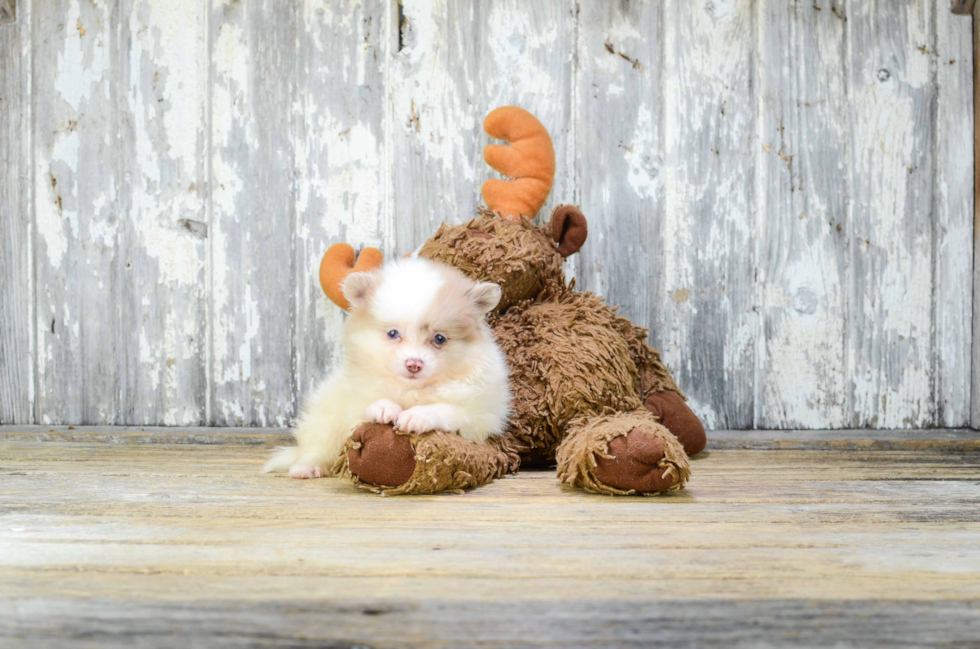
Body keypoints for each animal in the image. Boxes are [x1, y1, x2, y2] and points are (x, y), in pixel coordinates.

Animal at [260, 256, 512, 478]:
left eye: (439, 338)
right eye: (393, 333)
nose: (414, 364)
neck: (410, 389)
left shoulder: (478, 415)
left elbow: (444, 409)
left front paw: (416, 416)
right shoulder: (354, 400)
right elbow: (370, 403)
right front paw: (384, 408)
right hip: (325, 421)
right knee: (316, 448)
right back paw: (307, 468)